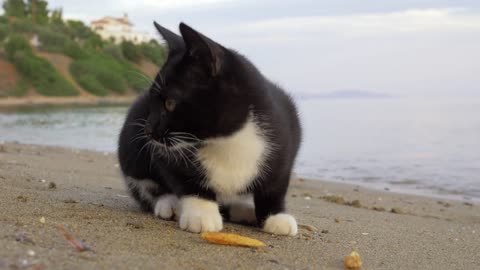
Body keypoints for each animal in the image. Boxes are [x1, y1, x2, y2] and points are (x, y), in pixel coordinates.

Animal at [117, 22, 302, 235]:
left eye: (170, 103)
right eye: (151, 103)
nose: (148, 130)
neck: (226, 139)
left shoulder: (286, 133)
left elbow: (275, 184)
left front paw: (276, 216)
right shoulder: (166, 154)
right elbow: (185, 179)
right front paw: (201, 214)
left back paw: (244, 210)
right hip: (131, 146)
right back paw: (170, 203)